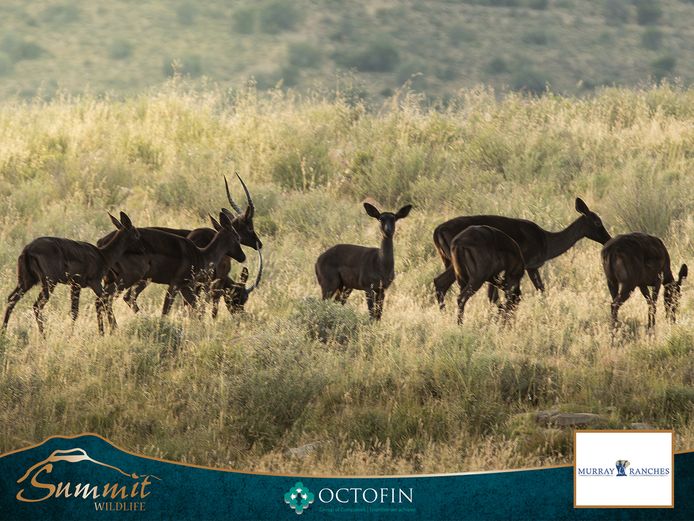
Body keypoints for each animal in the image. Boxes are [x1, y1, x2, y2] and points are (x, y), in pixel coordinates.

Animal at [2, 212, 142, 335]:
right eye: (136, 234)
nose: (143, 249)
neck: (104, 256)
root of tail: (27, 250)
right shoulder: (94, 281)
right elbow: (104, 301)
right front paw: (112, 330)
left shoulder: (75, 284)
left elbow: (75, 311)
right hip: (48, 282)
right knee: (37, 304)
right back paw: (43, 336)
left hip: (26, 280)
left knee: (11, 298)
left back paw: (4, 332)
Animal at [433, 198, 611, 309]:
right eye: (597, 222)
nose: (608, 238)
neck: (546, 241)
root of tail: (437, 232)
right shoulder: (530, 265)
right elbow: (540, 289)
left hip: (451, 263)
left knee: (440, 282)